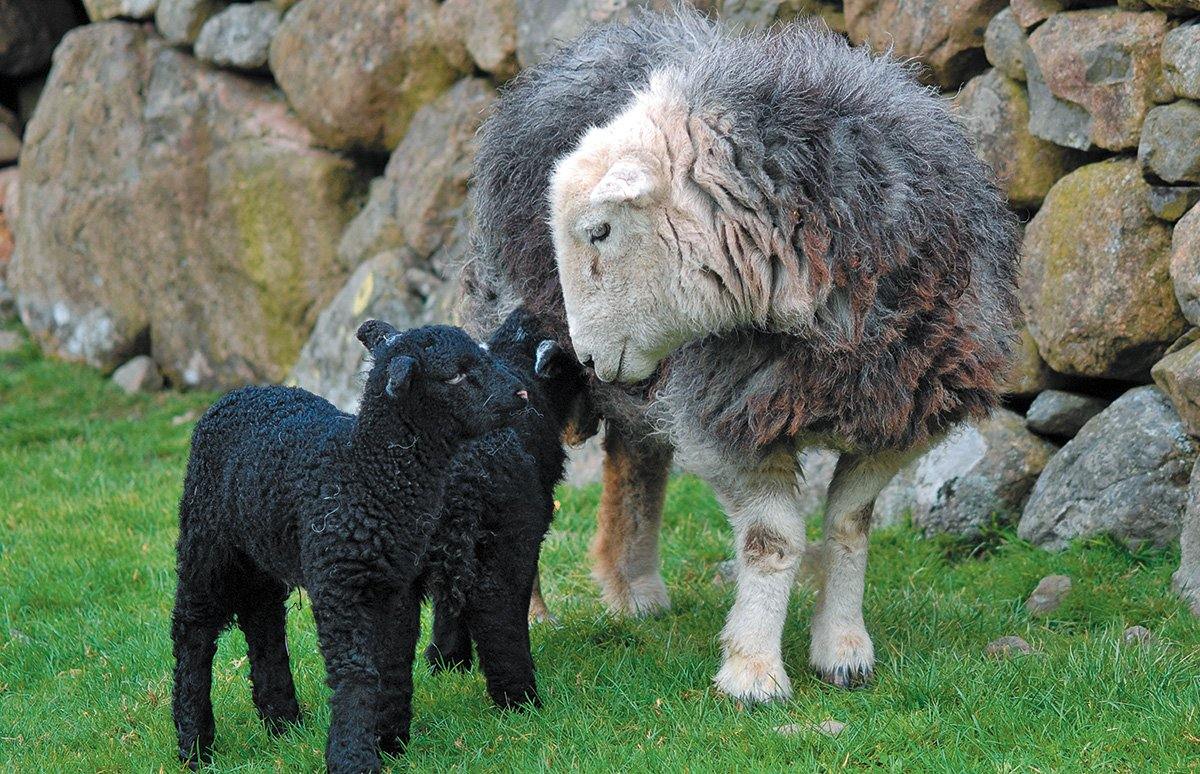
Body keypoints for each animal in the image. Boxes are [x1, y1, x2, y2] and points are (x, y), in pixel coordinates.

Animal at [170, 316, 530, 768]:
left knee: (263, 618)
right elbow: (355, 672)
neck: (366, 475)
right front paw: (353, 758)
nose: (522, 393)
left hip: (261, 547)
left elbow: (391, 662)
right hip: (206, 539)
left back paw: (282, 721)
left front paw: (390, 742)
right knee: (193, 628)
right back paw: (194, 744)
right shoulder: (339, 584)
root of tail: (238, 393)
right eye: (455, 375)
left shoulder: (395, 585)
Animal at [463, 9, 1017, 705]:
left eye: (598, 231)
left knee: (637, 456)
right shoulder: (727, 413)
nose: (581, 356)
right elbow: (771, 539)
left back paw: (636, 589)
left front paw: (843, 649)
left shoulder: (899, 408)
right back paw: (534, 613)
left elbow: (849, 524)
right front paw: (753, 672)